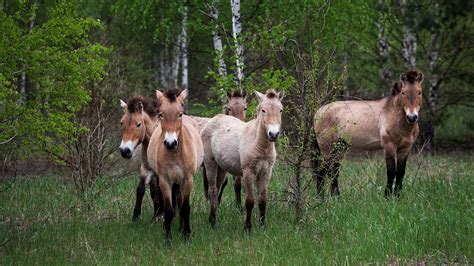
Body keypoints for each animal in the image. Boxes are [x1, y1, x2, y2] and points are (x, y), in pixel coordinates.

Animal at [146, 89, 202, 241]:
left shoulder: (187, 180)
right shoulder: (164, 181)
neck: (175, 155)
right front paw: (168, 237)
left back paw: (181, 228)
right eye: (161, 114)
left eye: (180, 114)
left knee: (181, 202)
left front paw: (186, 234)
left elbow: (185, 208)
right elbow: (169, 210)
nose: (170, 143)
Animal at [202, 89, 284, 231]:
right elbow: (250, 201)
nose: (273, 134)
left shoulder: (266, 172)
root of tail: (214, 119)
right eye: (263, 110)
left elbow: (263, 200)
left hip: (222, 169)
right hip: (210, 164)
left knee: (217, 189)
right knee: (212, 190)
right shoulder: (248, 172)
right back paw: (212, 222)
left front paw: (262, 226)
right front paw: (247, 227)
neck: (258, 144)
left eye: (281, 110)